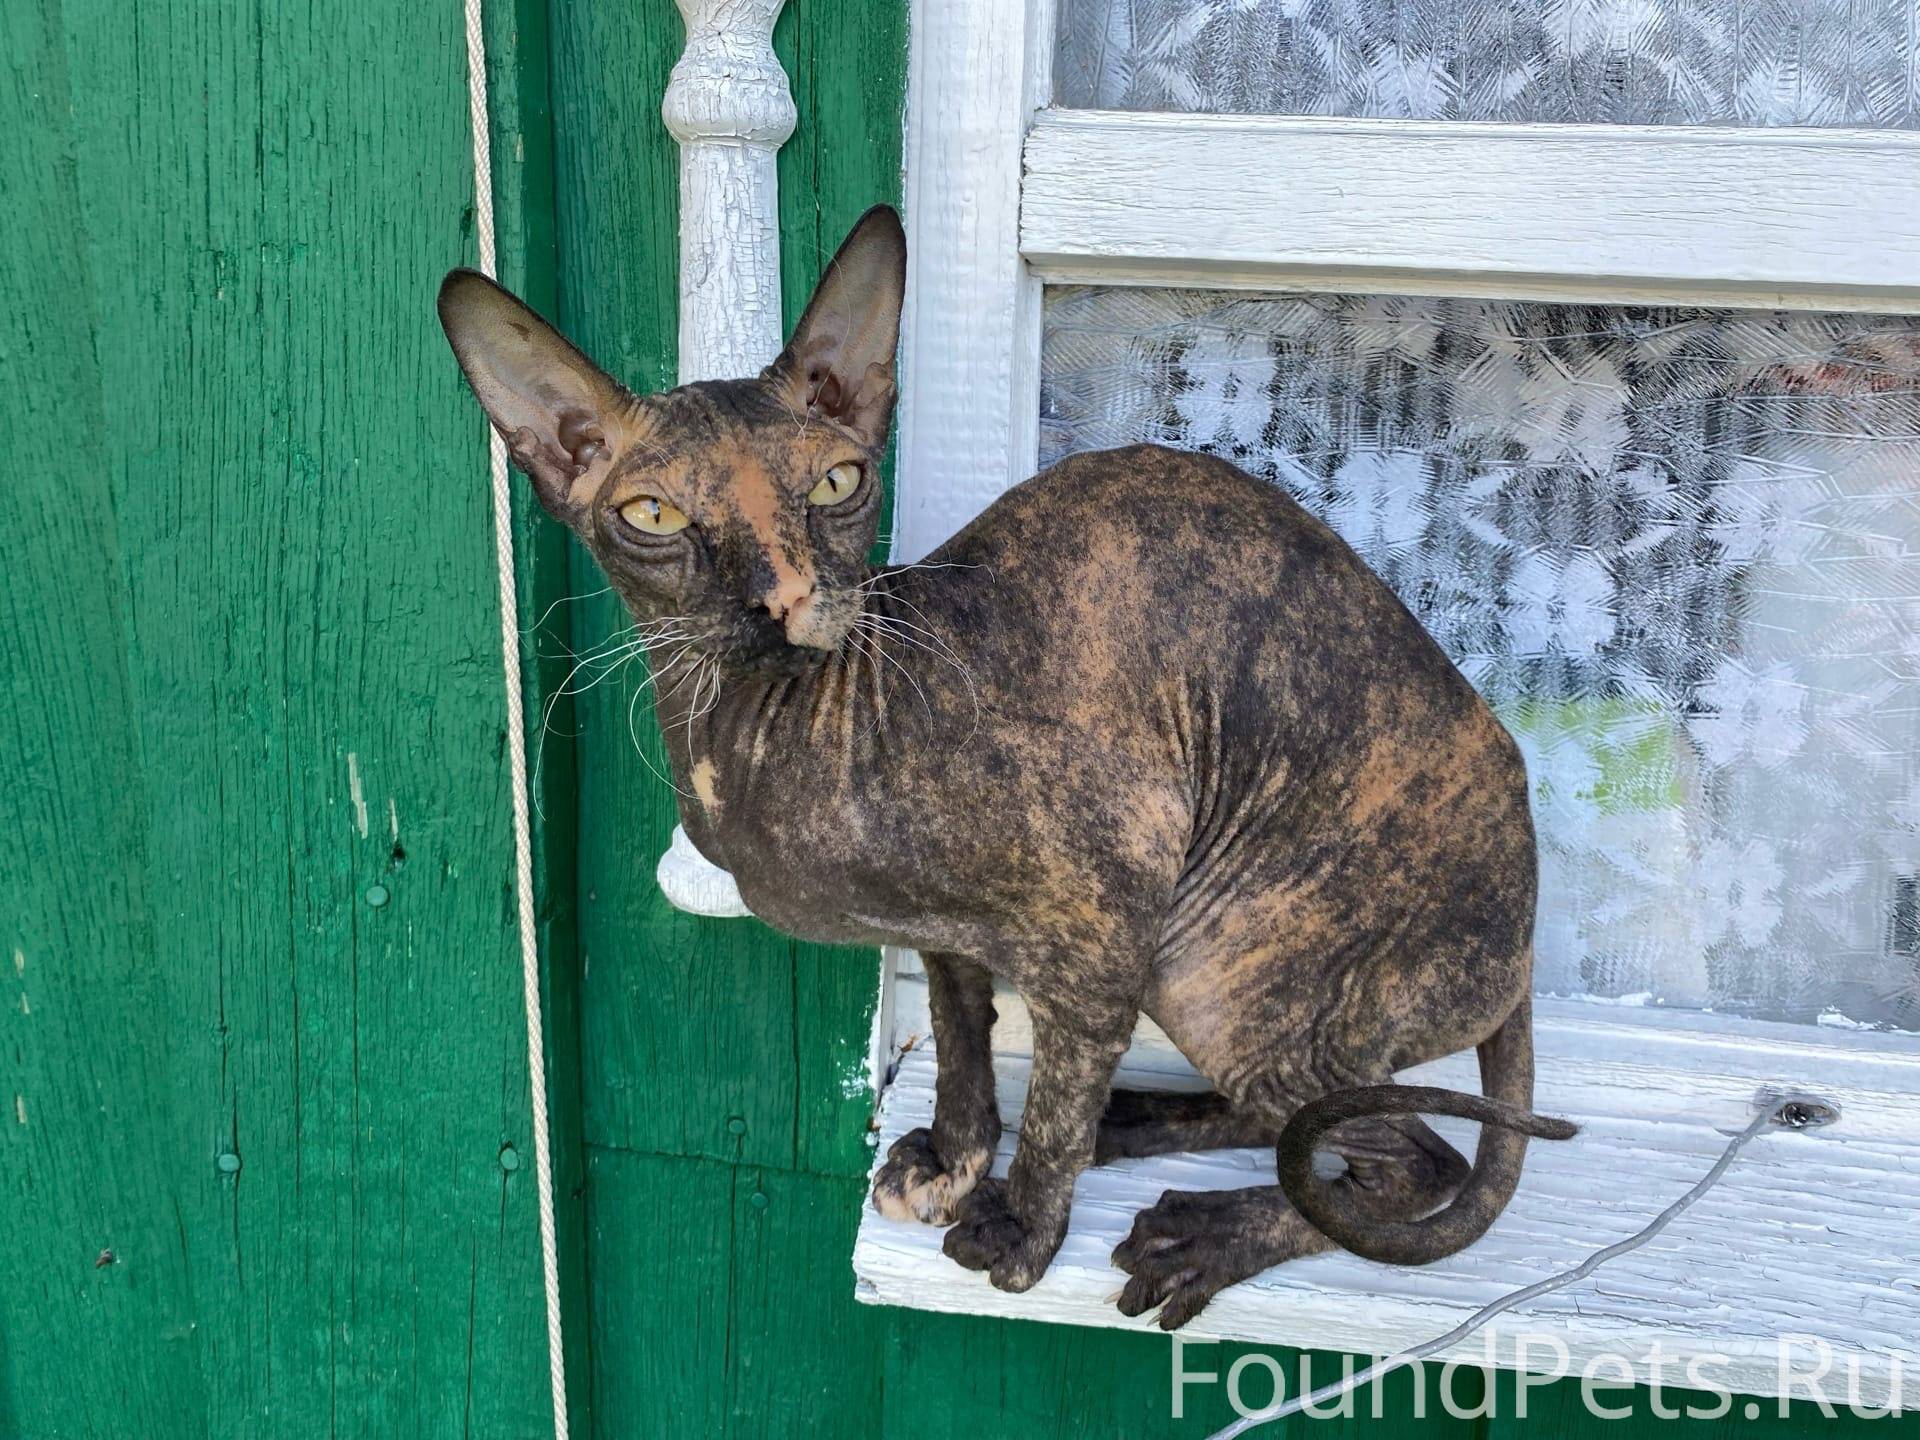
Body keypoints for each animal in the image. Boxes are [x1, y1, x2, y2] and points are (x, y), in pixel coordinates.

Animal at [439, 203, 1574, 1328]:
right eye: (656, 516)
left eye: (837, 484)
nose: (785, 596)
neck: (763, 739)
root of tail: (1526, 933)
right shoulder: (944, 930)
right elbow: (961, 1033)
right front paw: (955, 1155)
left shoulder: (1102, 923)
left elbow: (1058, 1091)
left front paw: (1020, 1225)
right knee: (1311, 1121)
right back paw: (1138, 1119)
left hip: (1216, 967)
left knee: (1410, 1165)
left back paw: (1205, 1231)